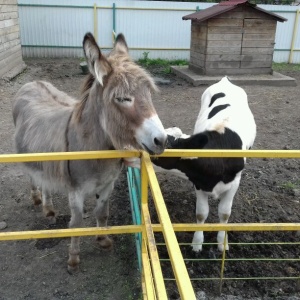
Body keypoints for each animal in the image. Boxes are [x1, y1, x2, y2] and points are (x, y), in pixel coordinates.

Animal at [126, 76, 255, 252]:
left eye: (157, 145)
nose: (127, 151)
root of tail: (225, 80)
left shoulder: (234, 184)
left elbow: (224, 213)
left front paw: (222, 242)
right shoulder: (198, 183)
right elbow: (201, 213)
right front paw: (197, 242)